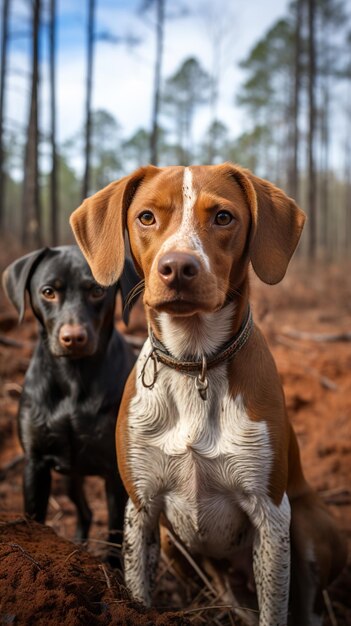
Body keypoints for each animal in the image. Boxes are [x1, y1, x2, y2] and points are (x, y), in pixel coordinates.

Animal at [3, 243, 140, 556]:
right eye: (48, 292)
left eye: (97, 291)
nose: (74, 337)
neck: (73, 378)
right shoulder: (36, 464)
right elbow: (34, 519)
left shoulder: (115, 473)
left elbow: (115, 535)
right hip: (67, 478)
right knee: (86, 511)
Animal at [69, 165, 346, 624]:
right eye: (146, 217)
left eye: (223, 217)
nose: (178, 267)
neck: (195, 360)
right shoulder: (141, 508)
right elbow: (139, 595)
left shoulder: (271, 514)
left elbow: (275, 609)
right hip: (174, 544)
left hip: (307, 524)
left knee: (306, 605)